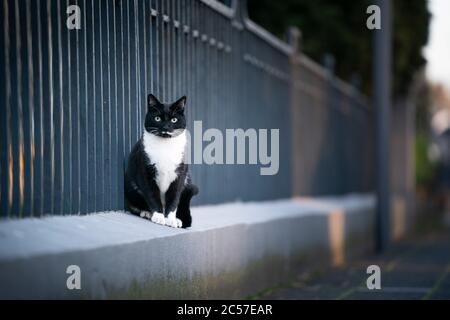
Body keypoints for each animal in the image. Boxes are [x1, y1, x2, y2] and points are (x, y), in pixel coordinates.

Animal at [125, 94, 199, 229]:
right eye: (157, 118)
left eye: (174, 120)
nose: (165, 127)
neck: (165, 145)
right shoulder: (145, 171)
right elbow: (152, 194)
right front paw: (159, 216)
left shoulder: (180, 175)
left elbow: (174, 197)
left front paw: (171, 219)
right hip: (131, 186)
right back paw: (146, 212)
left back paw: (178, 219)